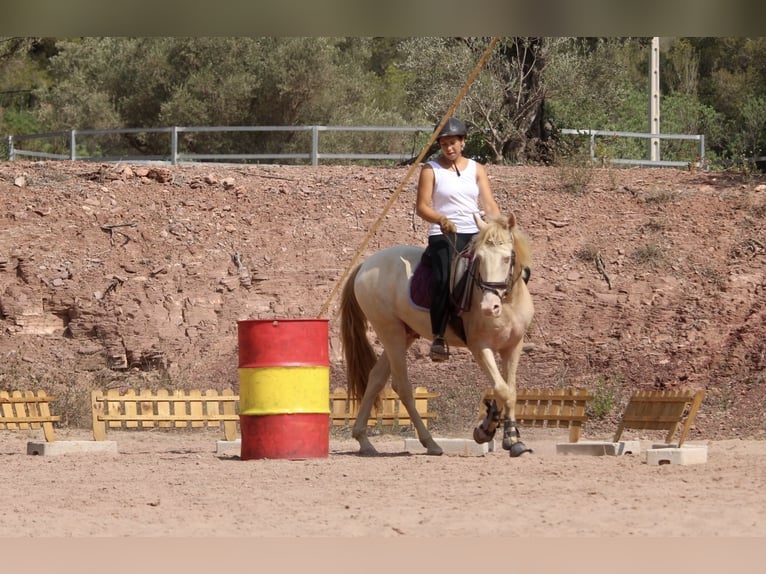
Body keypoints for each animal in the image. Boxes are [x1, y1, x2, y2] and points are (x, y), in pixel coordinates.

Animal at [340, 212, 536, 460]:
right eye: (479, 259)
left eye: (506, 258)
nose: (488, 307)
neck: (507, 303)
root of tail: (365, 264)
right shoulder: (480, 347)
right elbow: (502, 389)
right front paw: (489, 431)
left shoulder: (514, 346)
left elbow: (509, 390)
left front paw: (509, 437)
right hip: (390, 331)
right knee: (402, 386)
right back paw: (430, 443)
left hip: (403, 334)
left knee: (376, 378)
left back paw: (364, 441)